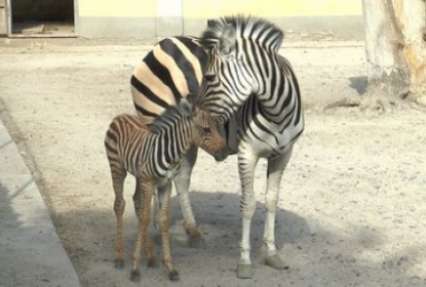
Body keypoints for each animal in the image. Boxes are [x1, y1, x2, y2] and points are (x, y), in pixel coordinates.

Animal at [104, 100, 225, 282]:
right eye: (206, 129)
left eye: (216, 127)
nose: (224, 151)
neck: (170, 154)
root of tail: (120, 116)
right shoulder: (149, 182)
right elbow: (145, 219)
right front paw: (135, 268)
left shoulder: (165, 184)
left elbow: (163, 220)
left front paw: (170, 268)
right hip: (117, 167)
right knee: (120, 204)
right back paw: (119, 257)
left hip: (139, 176)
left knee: (136, 202)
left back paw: (150, 255)